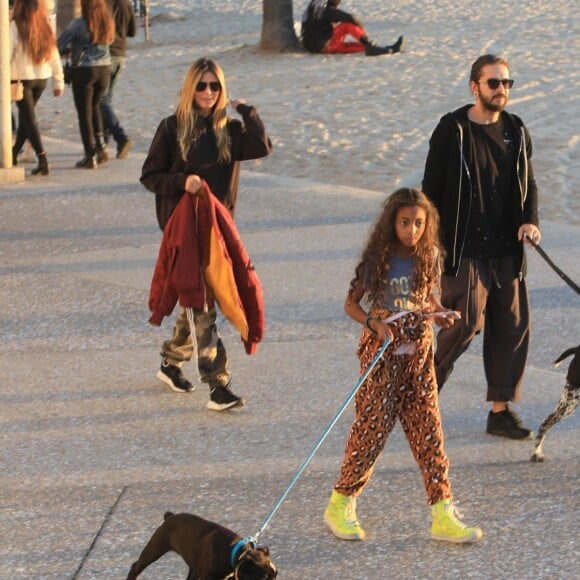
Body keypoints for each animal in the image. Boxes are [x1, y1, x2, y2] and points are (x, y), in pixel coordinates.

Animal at [128, 512, 278, 580]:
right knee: (136, 566)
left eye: (276, 575)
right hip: (155, 547)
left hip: (193, 568)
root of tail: (170, 516)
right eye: (263, 579)